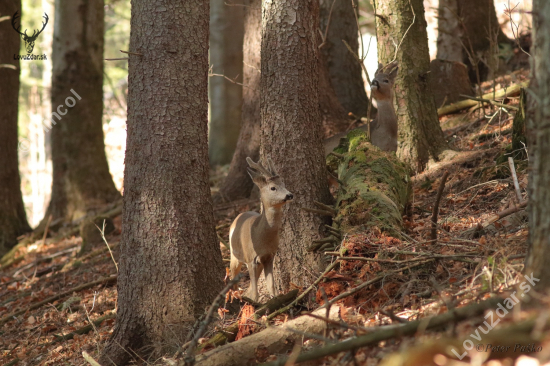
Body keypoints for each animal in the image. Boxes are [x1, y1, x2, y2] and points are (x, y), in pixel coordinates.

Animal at [230, 156, 296, 302]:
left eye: (283, 184)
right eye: (273, 188)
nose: (290, 195)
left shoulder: (269, 256)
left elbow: (271, 286)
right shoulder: (250, 258)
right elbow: (255, 293)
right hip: (234, 254)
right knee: (232, 278)